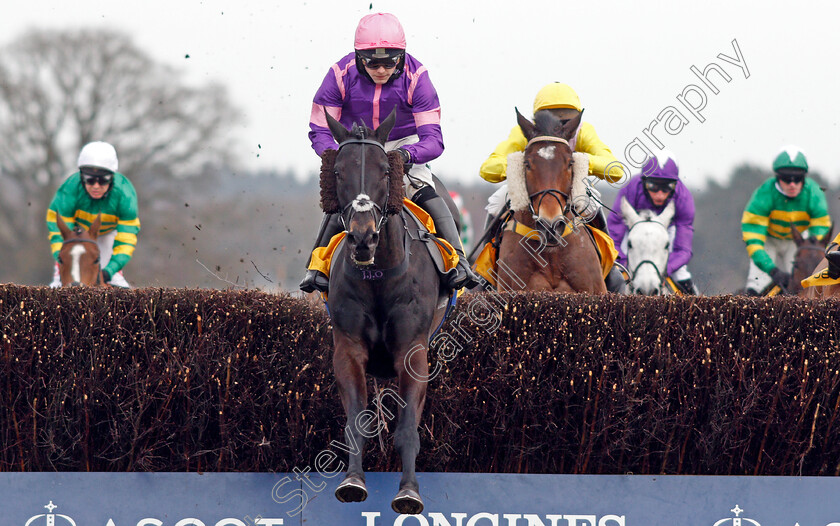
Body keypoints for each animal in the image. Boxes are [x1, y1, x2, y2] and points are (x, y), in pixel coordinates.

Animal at [316, 108, 446, 516]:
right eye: (338, 171)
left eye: (385, 171)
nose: (362, 237)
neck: (378, 274)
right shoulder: (348, 348)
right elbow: (356, 421)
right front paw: (353, 482)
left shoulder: (413, 351)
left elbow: (406, 428)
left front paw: (408, 491)